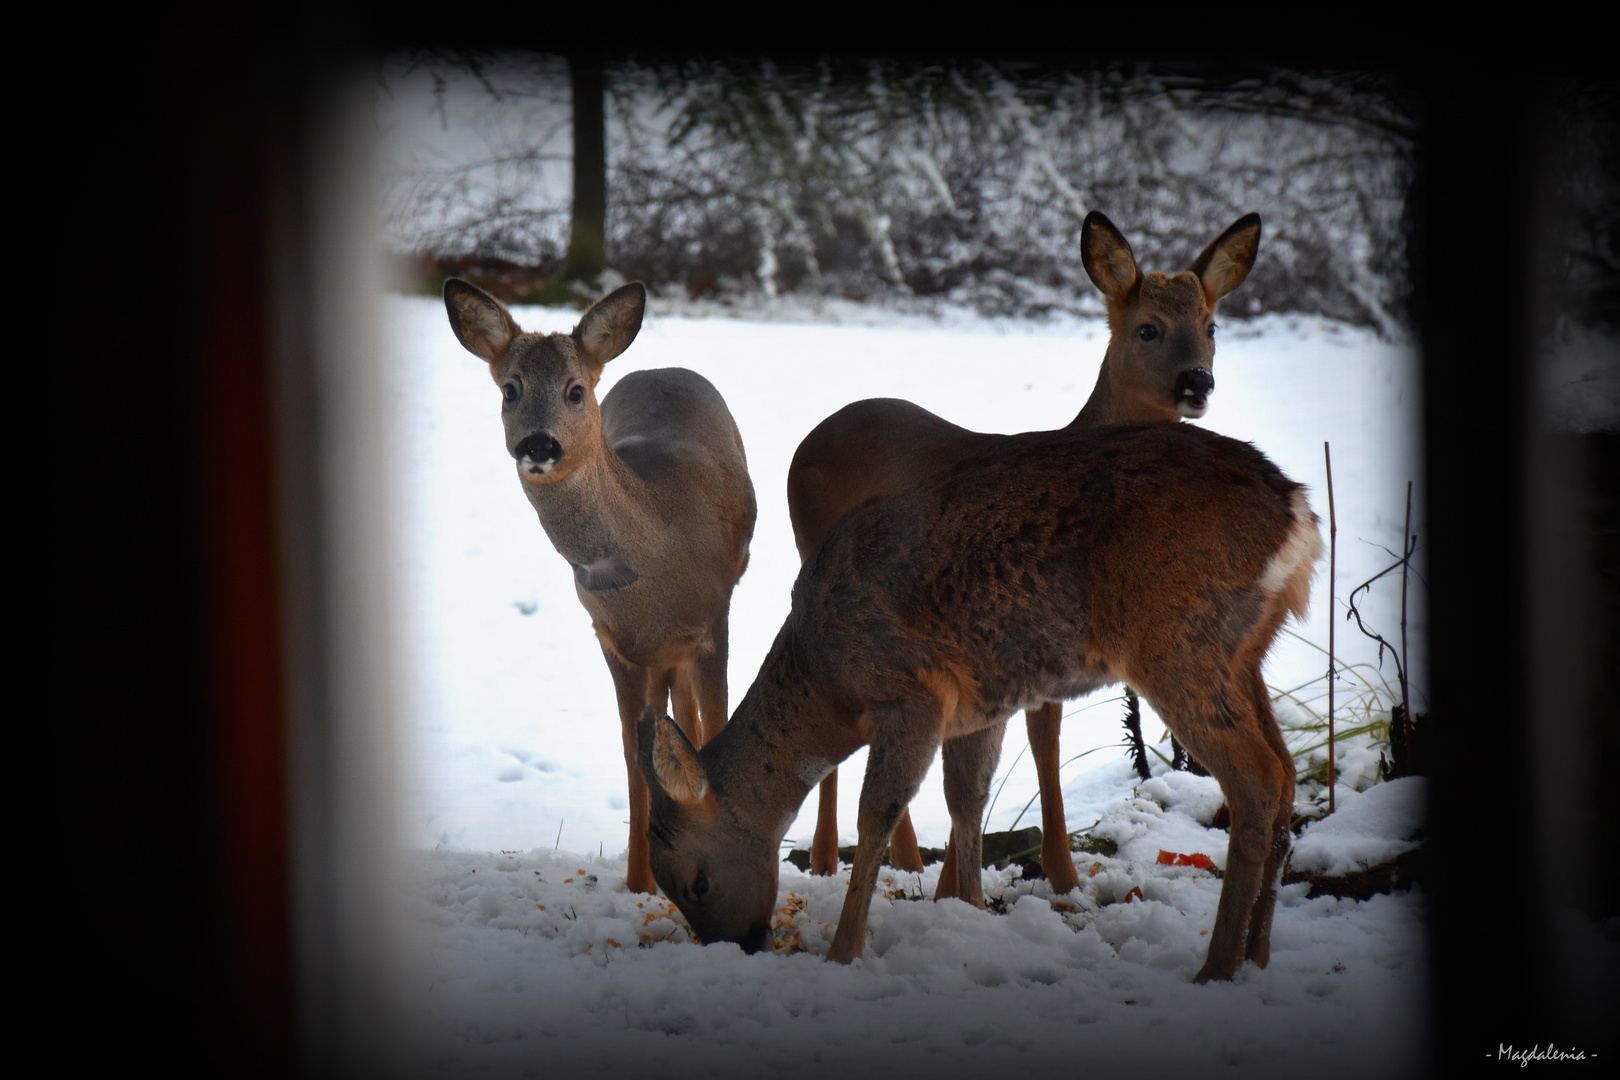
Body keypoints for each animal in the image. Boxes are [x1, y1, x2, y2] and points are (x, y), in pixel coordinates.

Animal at [443, 278, 758, 893]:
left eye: (574, 391)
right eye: (510, 389)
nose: (538, 446)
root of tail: (661, 366)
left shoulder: (713, 623)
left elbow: (716, 731)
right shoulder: (616, 643)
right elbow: (636, 762)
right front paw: (639, 885)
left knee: (694, 722)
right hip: (658, 659)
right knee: (673, 722)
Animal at [631, 420, 1315, 977]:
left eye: (696, 882)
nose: (741, 945)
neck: (825, 683)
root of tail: (1295, 513)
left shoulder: (911, 695)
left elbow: (876, 816)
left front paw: (844, 951)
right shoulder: (979, 707)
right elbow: (967, 801)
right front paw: (975, 918)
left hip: (1177, 639)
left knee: (1256, 779)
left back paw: (1216, 966)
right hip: (1243, 653)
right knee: (1285, 774)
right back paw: (1258, 955)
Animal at [787, 213, 1263, 893]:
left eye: (1212, 326)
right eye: (1148, 327)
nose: (1197, 382)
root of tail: (806, 442)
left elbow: (1041, 736)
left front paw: (1030, 878)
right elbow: (1036, 738)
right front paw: (1036, 879)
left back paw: (902, 862)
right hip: (811, 548)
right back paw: (830, 860)